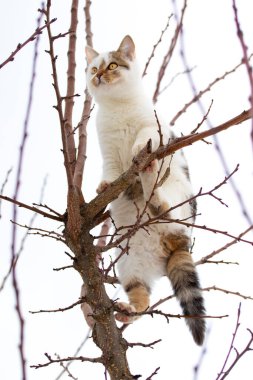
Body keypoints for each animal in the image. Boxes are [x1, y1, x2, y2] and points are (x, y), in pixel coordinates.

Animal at [85, 35, 206, 344]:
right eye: (93, 68)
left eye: (113, 65)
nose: (99, 76)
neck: (118, 108)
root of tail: (177, 241)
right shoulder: (108, 151)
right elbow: (111, 171)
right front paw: (105, 185)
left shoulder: (156, 127)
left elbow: (144, 136)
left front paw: (138, 149)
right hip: (131, 265)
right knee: (143, 298)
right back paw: (127, 311)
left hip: (179, 196)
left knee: (164, 207)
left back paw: (149, 174)